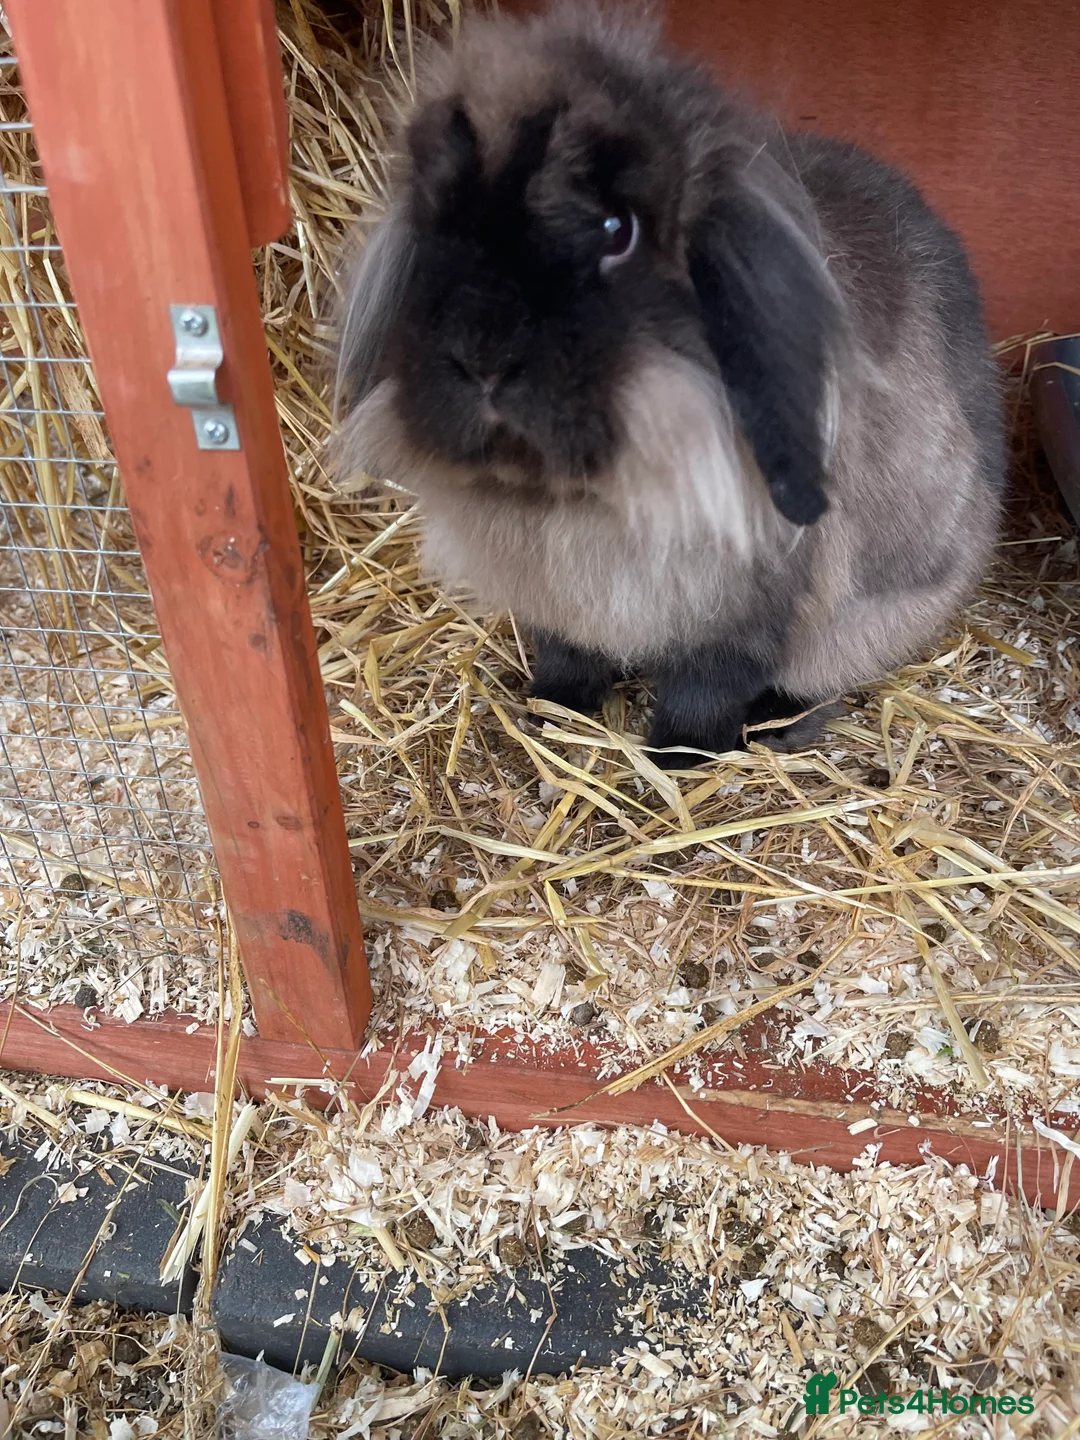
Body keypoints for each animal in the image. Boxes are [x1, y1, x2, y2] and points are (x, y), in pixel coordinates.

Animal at [333, 3, 1005, 768]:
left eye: (616, 230)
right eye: (437, 219)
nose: (482, 355)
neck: (582, 501)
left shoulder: (745, 612)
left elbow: (705, 688)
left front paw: (678, 759)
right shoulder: (563, 606)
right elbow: (570, 658)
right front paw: (551, 715)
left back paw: (773, 725)